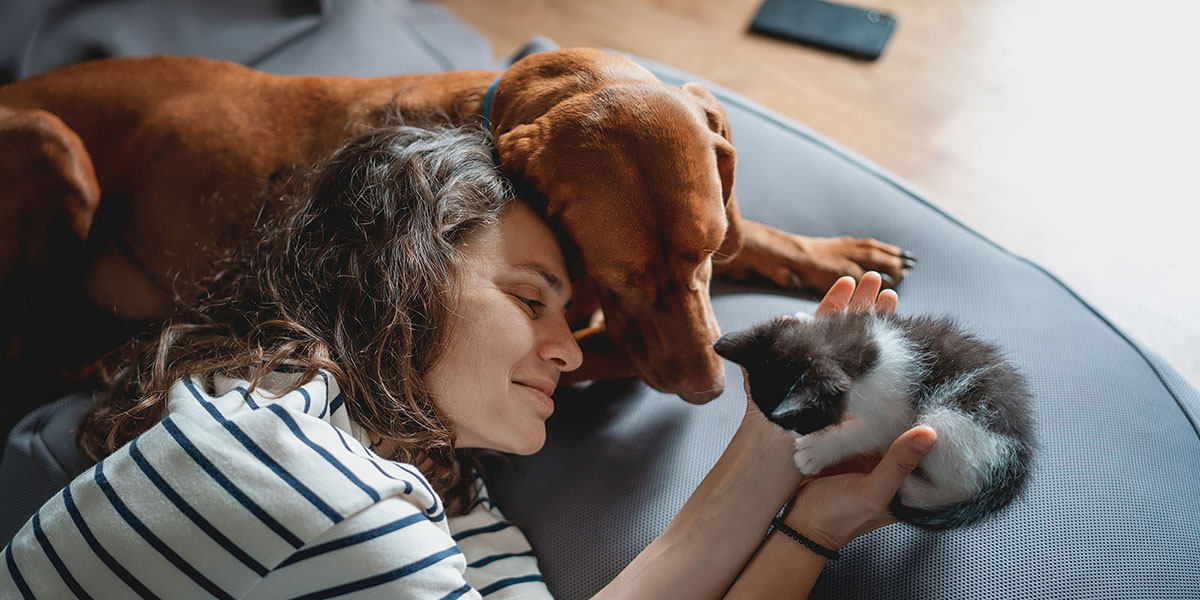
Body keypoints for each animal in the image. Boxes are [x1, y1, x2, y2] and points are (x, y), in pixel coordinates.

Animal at [715, 309, 1036, 530]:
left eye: (797, 422)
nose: (783, 432)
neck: (858, 351)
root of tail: (1019, 459)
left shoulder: (894, 412)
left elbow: (867, 433)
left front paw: (815, 451)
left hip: (948, 419)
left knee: (959, 486)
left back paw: (911, 487)